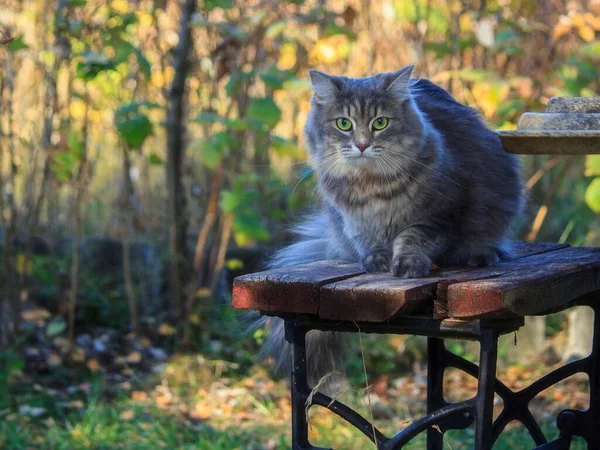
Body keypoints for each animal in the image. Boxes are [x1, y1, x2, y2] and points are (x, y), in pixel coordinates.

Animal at [260, 64, 524, 390]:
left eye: (380, 123)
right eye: (344, 123)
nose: (362, 145)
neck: (371, 186)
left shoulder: (438, 216)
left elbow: (412, 239)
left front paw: (407, 264)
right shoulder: (353, 221)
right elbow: (370, 242)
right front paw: (377, 262)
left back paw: (479, 256)